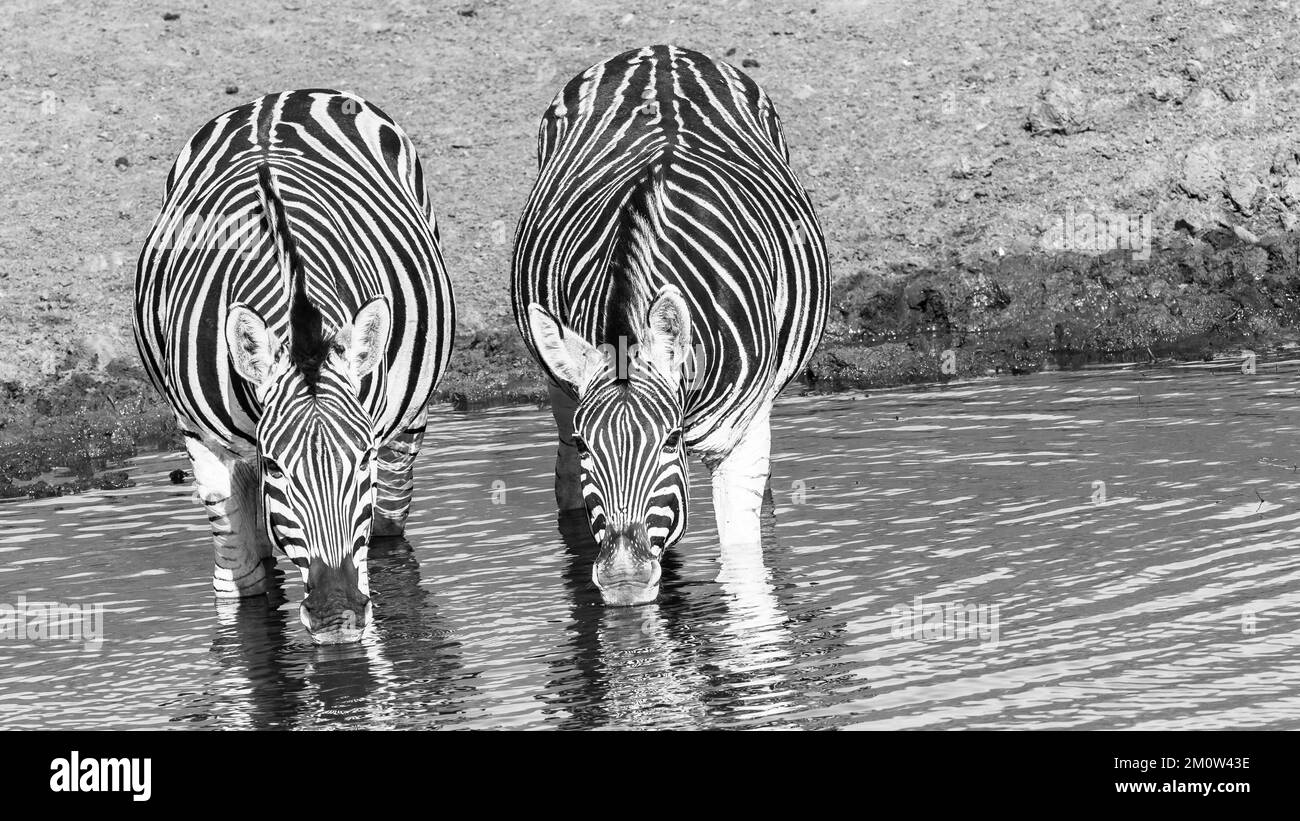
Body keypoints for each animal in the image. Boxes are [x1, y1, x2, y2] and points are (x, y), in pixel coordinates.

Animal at [135, 90, 455, 642]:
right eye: (275, 467)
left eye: (362, 462)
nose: (334, 613)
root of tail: (281, 97)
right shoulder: (205, 445)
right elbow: (237, 582)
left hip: (408, 423)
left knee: (390, 521)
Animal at [512, 45, 828, 605]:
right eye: (589, 445)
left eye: (670, 440)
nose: (624, 579)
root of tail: (658, 50)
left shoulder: (738, 443)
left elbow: (743, 568)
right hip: (559, 380)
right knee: (564, 477)